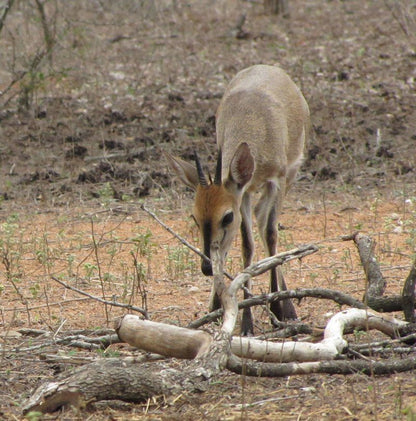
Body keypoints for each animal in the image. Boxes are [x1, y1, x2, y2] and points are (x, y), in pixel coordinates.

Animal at [167, 65, 310, 334]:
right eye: (195, 217)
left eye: (227, 216)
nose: (205, 268)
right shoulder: (243, 192)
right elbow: (246, 246)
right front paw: (241, 319)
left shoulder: (277, 181)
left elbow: (271, 234)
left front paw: (278, 308)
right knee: (256, 222)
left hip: (290, 176)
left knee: (266, 226)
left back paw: (286, 306)